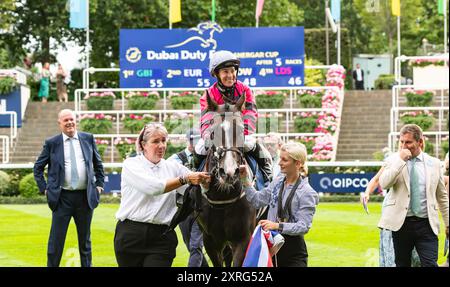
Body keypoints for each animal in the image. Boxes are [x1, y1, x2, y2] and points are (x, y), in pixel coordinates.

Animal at [197, 92, 256, 268]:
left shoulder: (243, 238)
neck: (223, 197)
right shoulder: (210, 240)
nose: (229, 173)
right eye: (213, 132)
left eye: (242, 131)